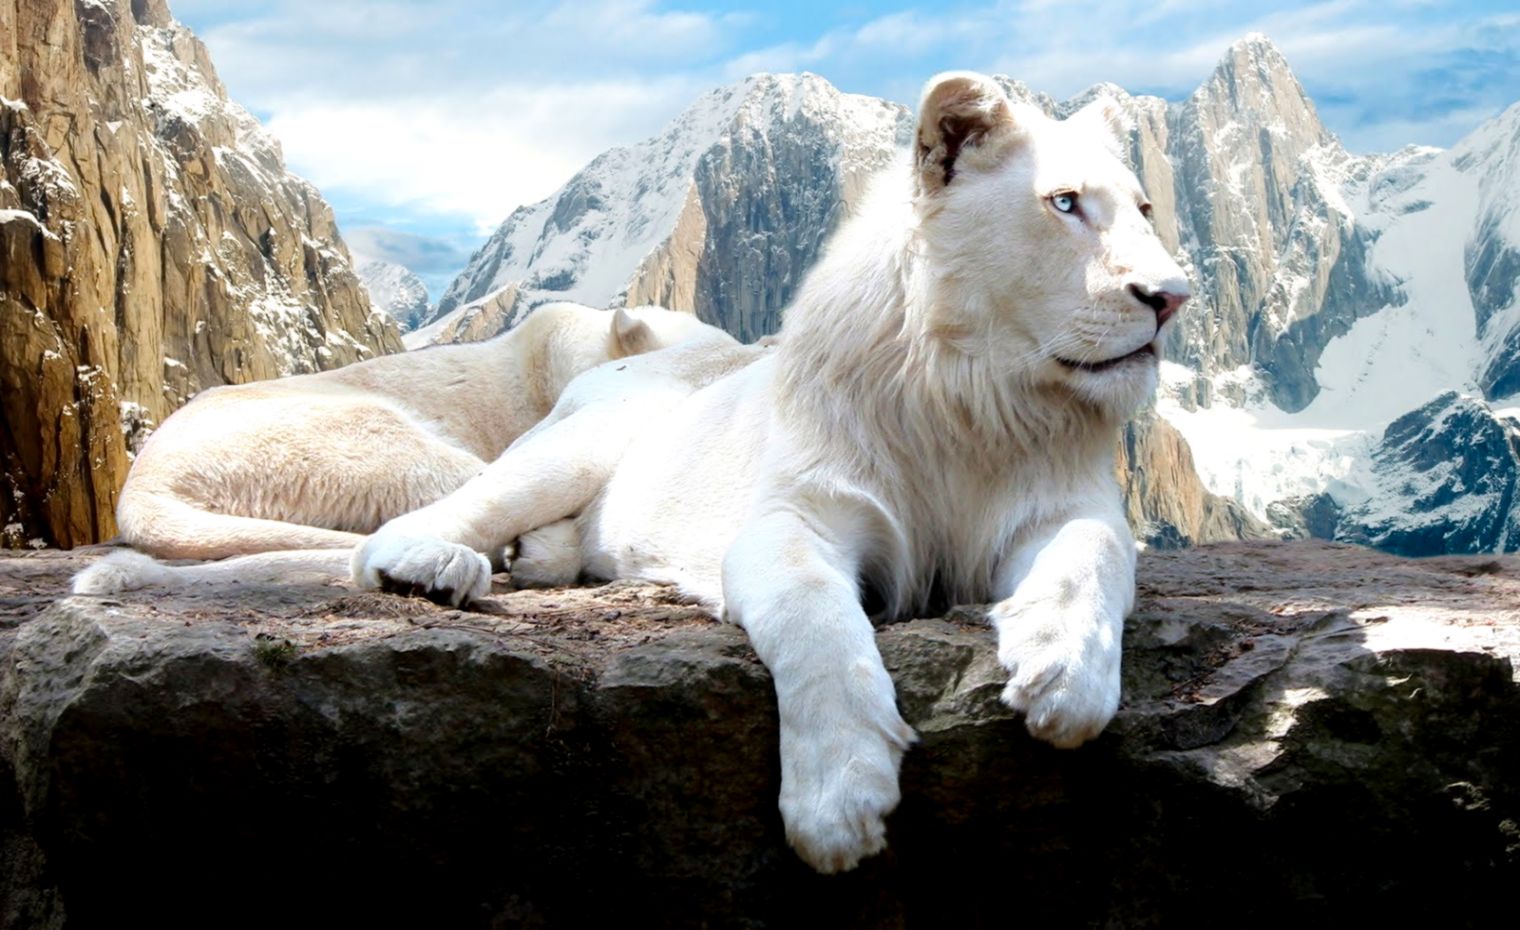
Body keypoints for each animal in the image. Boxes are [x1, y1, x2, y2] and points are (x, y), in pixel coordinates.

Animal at [348, 72, 1189, 873]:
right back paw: (436, 567)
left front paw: (1064, 675)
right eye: (1065, 203)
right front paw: (839, 800)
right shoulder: (797, 517)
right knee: (421, 524)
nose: (1173, 298)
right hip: (581, 443)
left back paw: (536, 559)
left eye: (1146, 208)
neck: (973, 395)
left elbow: (1093, 554)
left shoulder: (1061, 506)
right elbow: (815, 618)